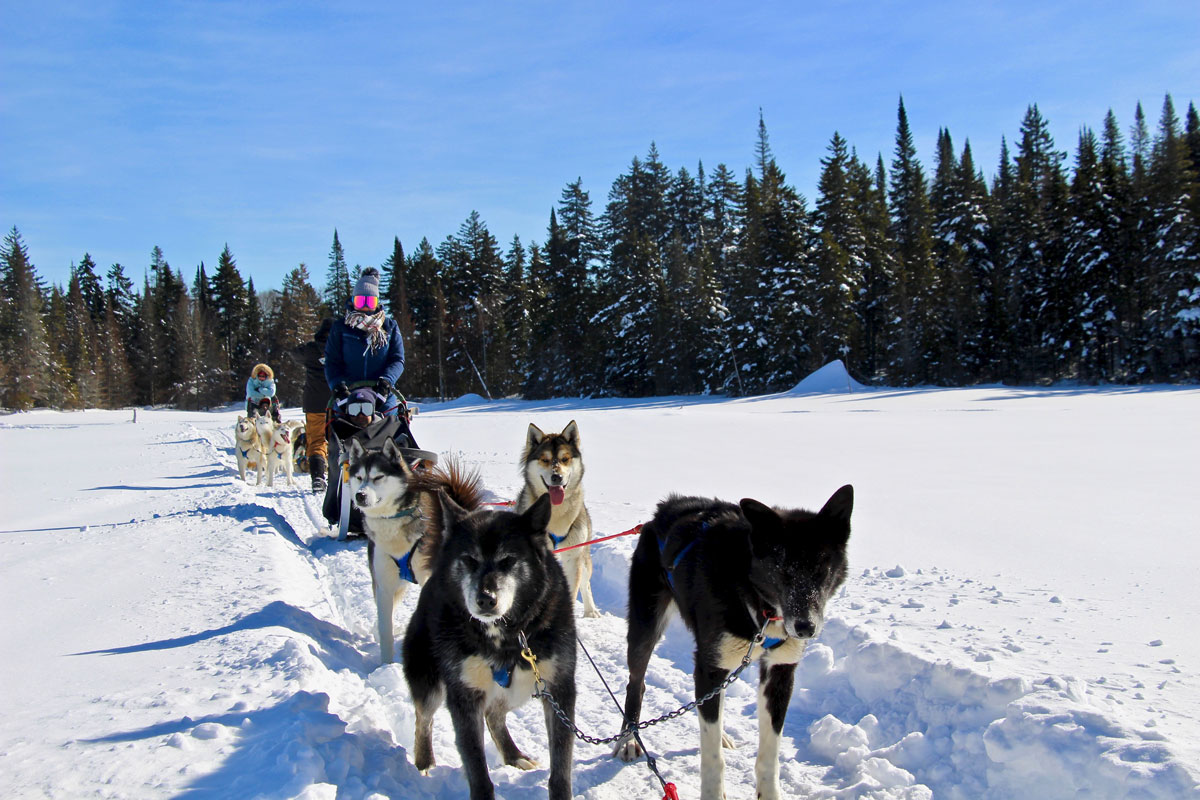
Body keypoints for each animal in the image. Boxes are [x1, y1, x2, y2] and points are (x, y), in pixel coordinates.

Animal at [345, 438, 480, 662]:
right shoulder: (383, 584)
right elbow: (385, 628)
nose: (360, 495)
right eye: (359, 477)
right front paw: (385, 664)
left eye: (378, 477)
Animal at [403, 494, 576, 800]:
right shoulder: (465, 696)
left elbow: (561, 768)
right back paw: (424, 762)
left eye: (508, 560)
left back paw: (513, 755)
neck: (507, 635)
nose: (486, 599)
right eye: (469, 560)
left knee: (494, 714)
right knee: (424, 718)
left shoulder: (559, 689)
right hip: (429, 681)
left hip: (517, 688)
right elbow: (476, 769)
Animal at [516, 422, 600, 618]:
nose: (557, 477)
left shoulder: (573, 557)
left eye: (565, 459)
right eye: (545, 460)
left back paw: (590, 610)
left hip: (583, 554)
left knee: (586, 582)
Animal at [614, 484, 859, 796]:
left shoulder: (780, 672)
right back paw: (629, 739)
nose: (805, 628)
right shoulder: (709, 666)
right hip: (645, 629)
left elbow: (768, 756)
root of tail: (665, 509)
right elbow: (712, 759)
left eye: (822, 570)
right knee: (636, 684)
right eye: (782, 570)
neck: (759, 603)